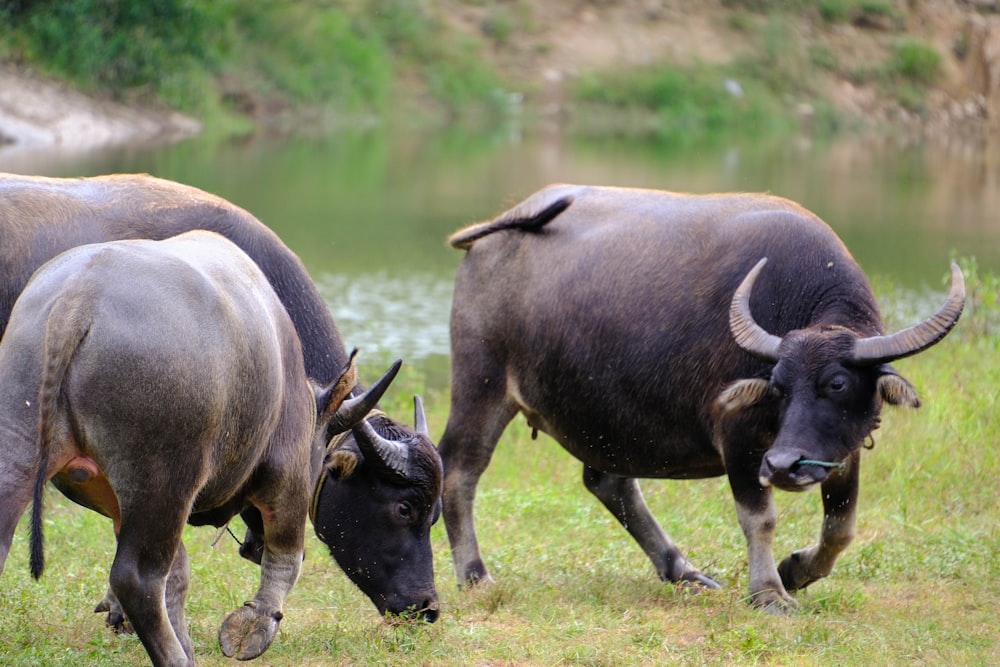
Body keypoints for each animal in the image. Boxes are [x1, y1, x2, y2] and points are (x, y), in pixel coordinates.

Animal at [442, 183, 964, 612]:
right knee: (460, 469)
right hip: (480, 383)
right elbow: (759, 518)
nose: (783, 466)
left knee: (609, 482)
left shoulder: (844, 448)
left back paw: (685, 572)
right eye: (778, 385)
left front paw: (796, 570)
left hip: (605, 419)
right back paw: (476, 575)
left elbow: (841, 527)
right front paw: (769, 593)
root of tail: (505, 223)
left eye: (837, 383)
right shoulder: (739, 439)